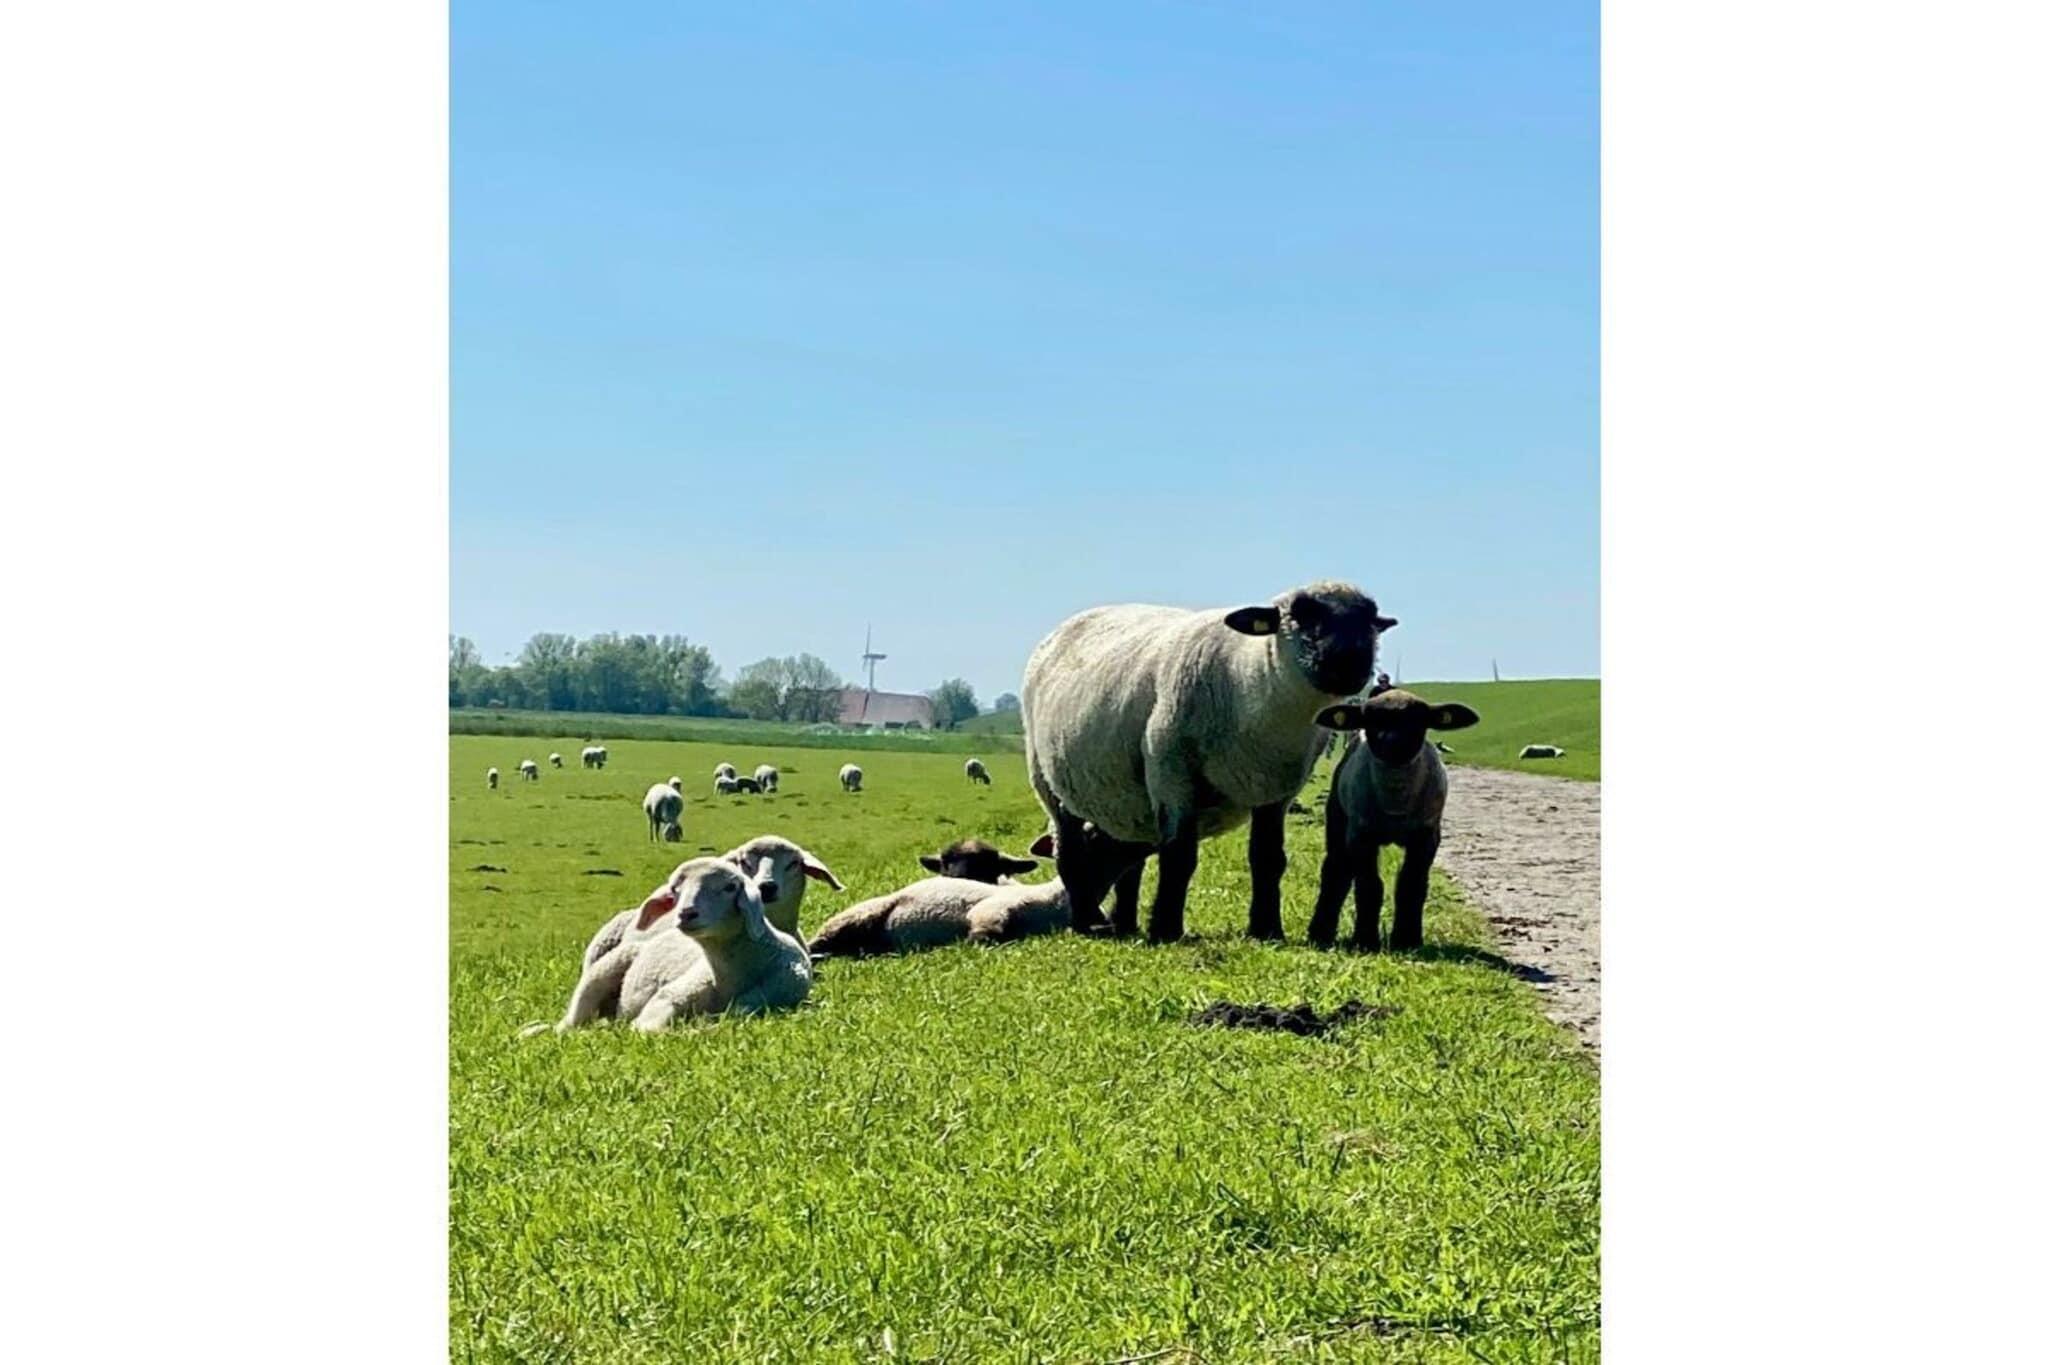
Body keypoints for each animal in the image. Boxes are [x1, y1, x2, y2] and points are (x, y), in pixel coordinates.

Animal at [537, 859, 811, 1033]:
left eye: (730, 887)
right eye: (675, 890)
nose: (686, 913)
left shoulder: (764, 1000)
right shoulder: (669, 996)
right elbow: (646, 1028)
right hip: (599, 974)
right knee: (569, 1025)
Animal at [1021, 580, 1396, 943]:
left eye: (1370, 621)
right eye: (1301, 614)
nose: (1351, 663)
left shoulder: (1276, 792)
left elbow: (1268, 858)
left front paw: (1266, 929)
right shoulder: (1172, 774)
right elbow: (1178, 856)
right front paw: (1167, 930)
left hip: (1128, 804)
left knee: (1127, 859)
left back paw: (1120, 922)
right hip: (1048, 783)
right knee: (1068, 853)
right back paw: (1087, 922)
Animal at [1308, 690, 1479, 950]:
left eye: (1419, 720)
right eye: (1370, 720)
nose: (1394, 743)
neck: (1395, 805)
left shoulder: (1427, 836)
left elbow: (1411, 885)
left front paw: (1407, 939)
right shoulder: (1361, 834)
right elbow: (1369, 885)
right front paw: (1365, 940)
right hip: (1339, 816)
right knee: (1336, 870)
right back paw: (1320, 933)